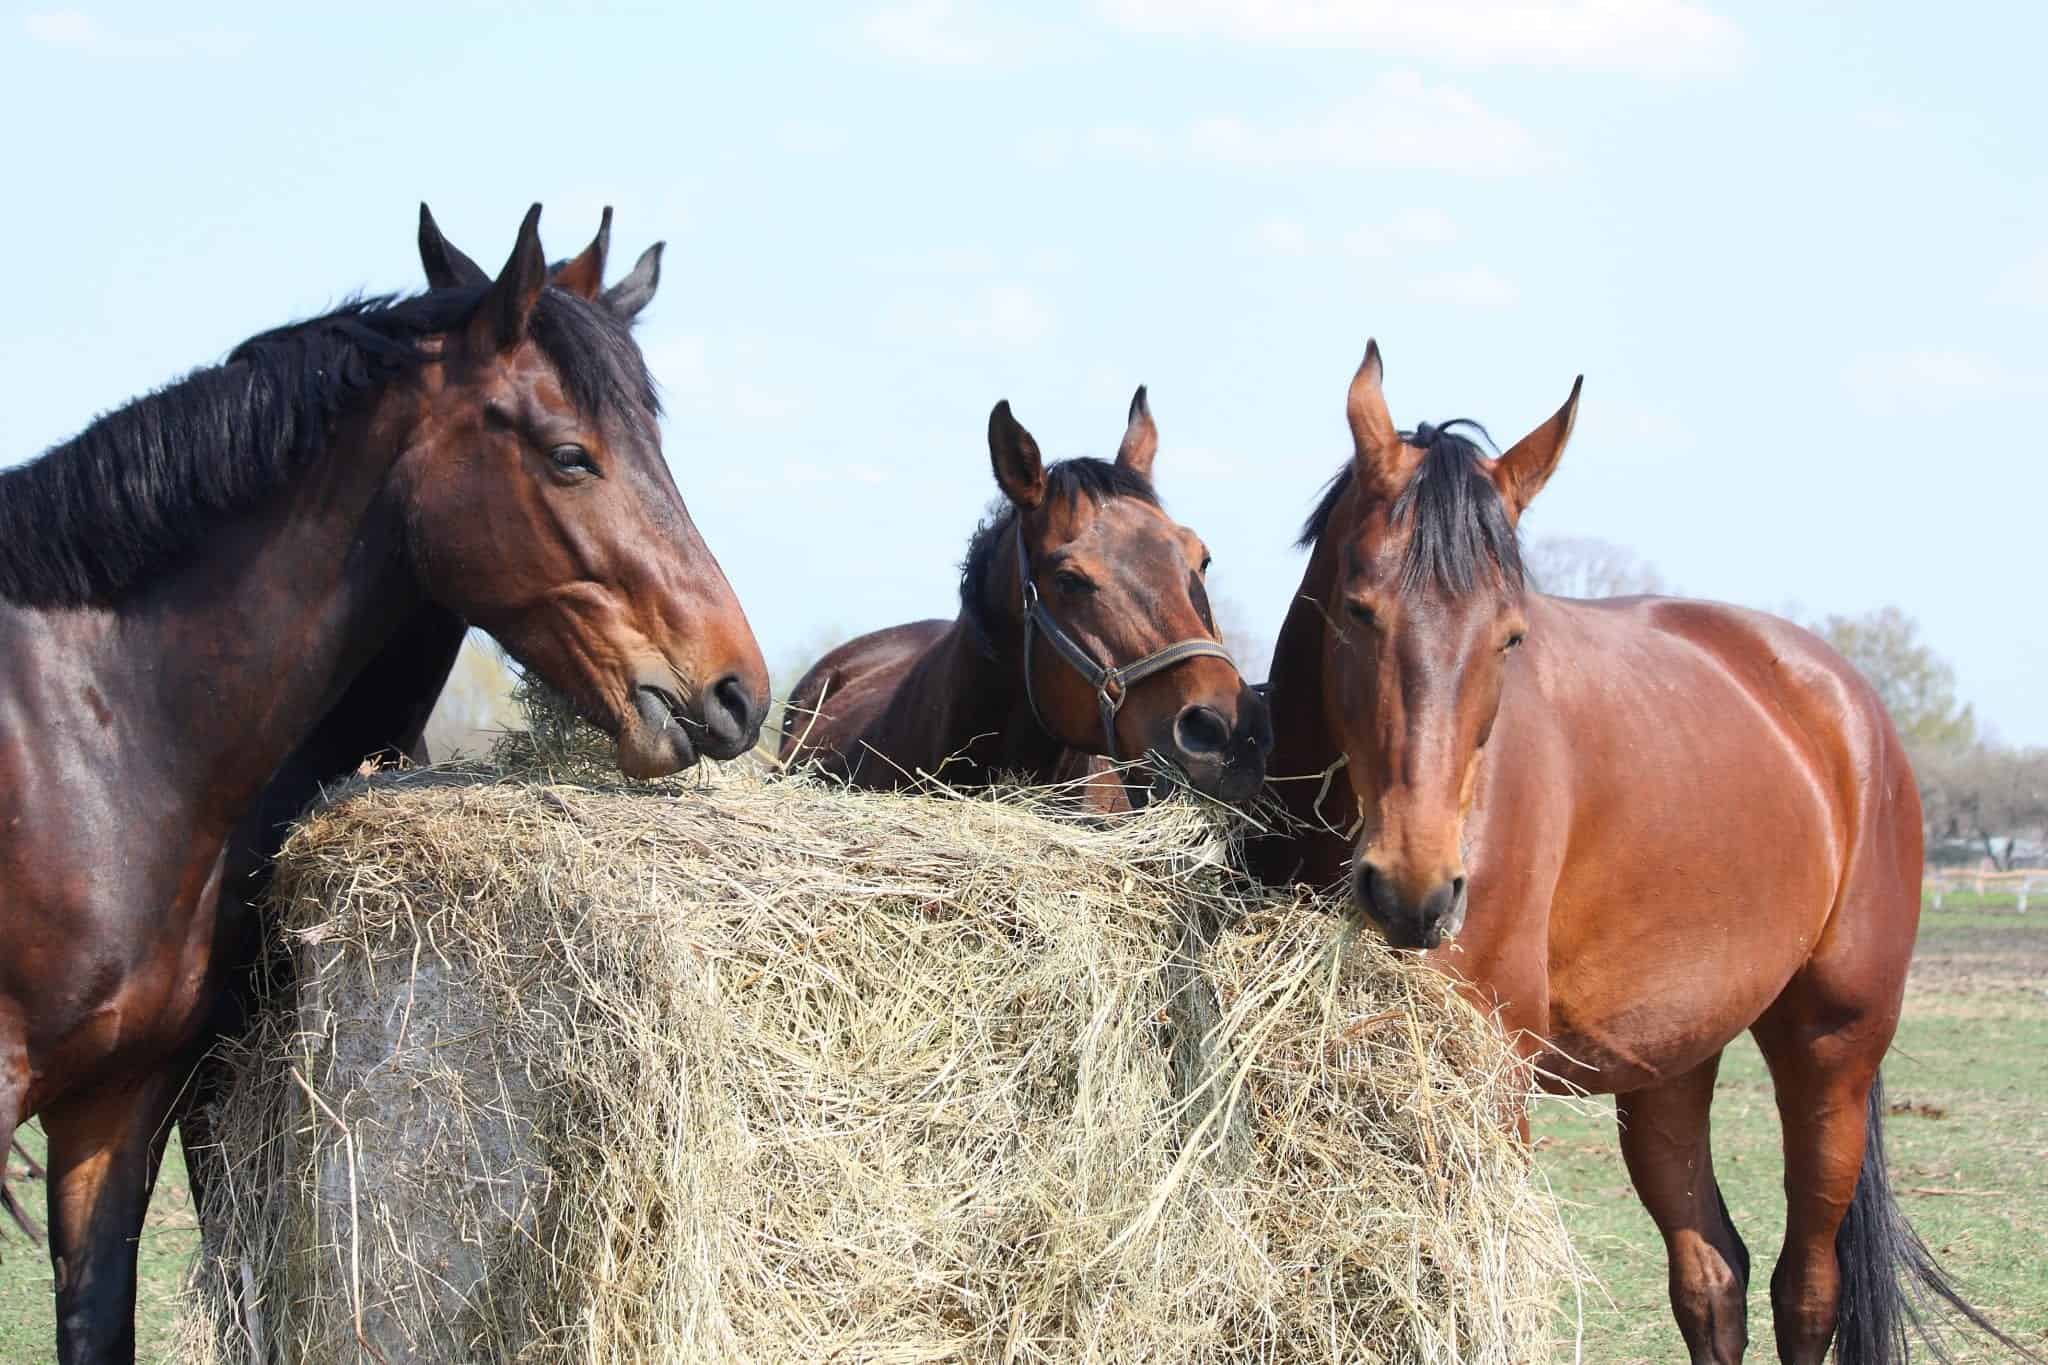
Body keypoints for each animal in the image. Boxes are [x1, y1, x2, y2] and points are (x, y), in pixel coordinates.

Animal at [1236, 341, 2023, 1365]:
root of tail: (1847, 703)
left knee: (1807, 1287)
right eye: (1359, 611)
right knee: (1712, 1277)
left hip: (1832, 1050)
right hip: (1670, 1062)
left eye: (1511, 636)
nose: (1415, 890)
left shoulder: (1490, 1078)